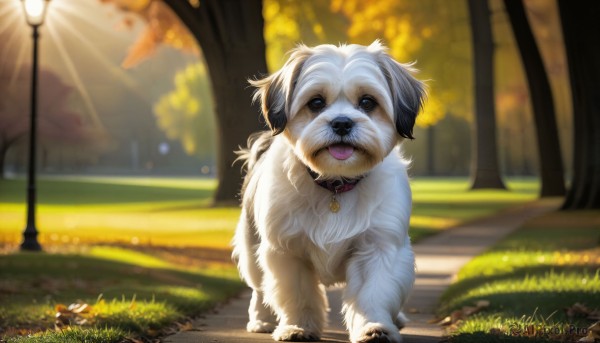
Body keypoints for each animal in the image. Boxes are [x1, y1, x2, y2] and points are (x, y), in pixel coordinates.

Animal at [232, 41, 424, 343]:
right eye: (316, 103)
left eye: (367, 102)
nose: (342, 123)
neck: (335, 183)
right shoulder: (287, 251)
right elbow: (297, 295)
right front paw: (298, 327)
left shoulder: (379, 247)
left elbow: (373, 294)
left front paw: (374, 327)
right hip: (252, 249)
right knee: (259, 288)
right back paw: (261, 319)